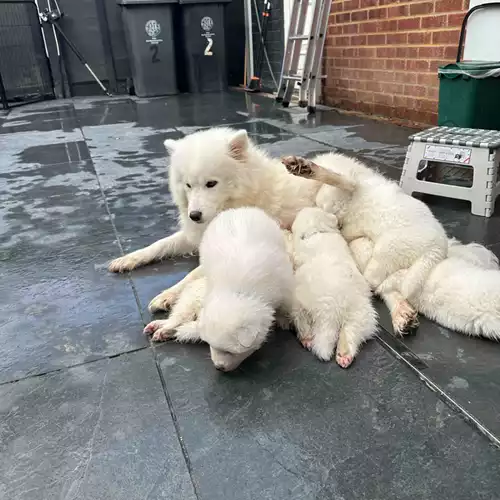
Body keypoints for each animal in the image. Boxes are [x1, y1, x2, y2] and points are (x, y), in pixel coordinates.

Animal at [145, 207, 294, 372]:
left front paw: (283, 319)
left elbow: (285, 305)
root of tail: (237, 209)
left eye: (230, 352)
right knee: (177, 318)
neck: (237, 291)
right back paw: (161, 328)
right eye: (210, 345)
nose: (218, 367)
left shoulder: (285, 285)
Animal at [290, 207, 376, 368]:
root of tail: (329, 312)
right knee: (349, 333)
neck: (314, 232)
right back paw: (343, 355)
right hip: (360, 313)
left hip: (299, 306)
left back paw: (309, 340)